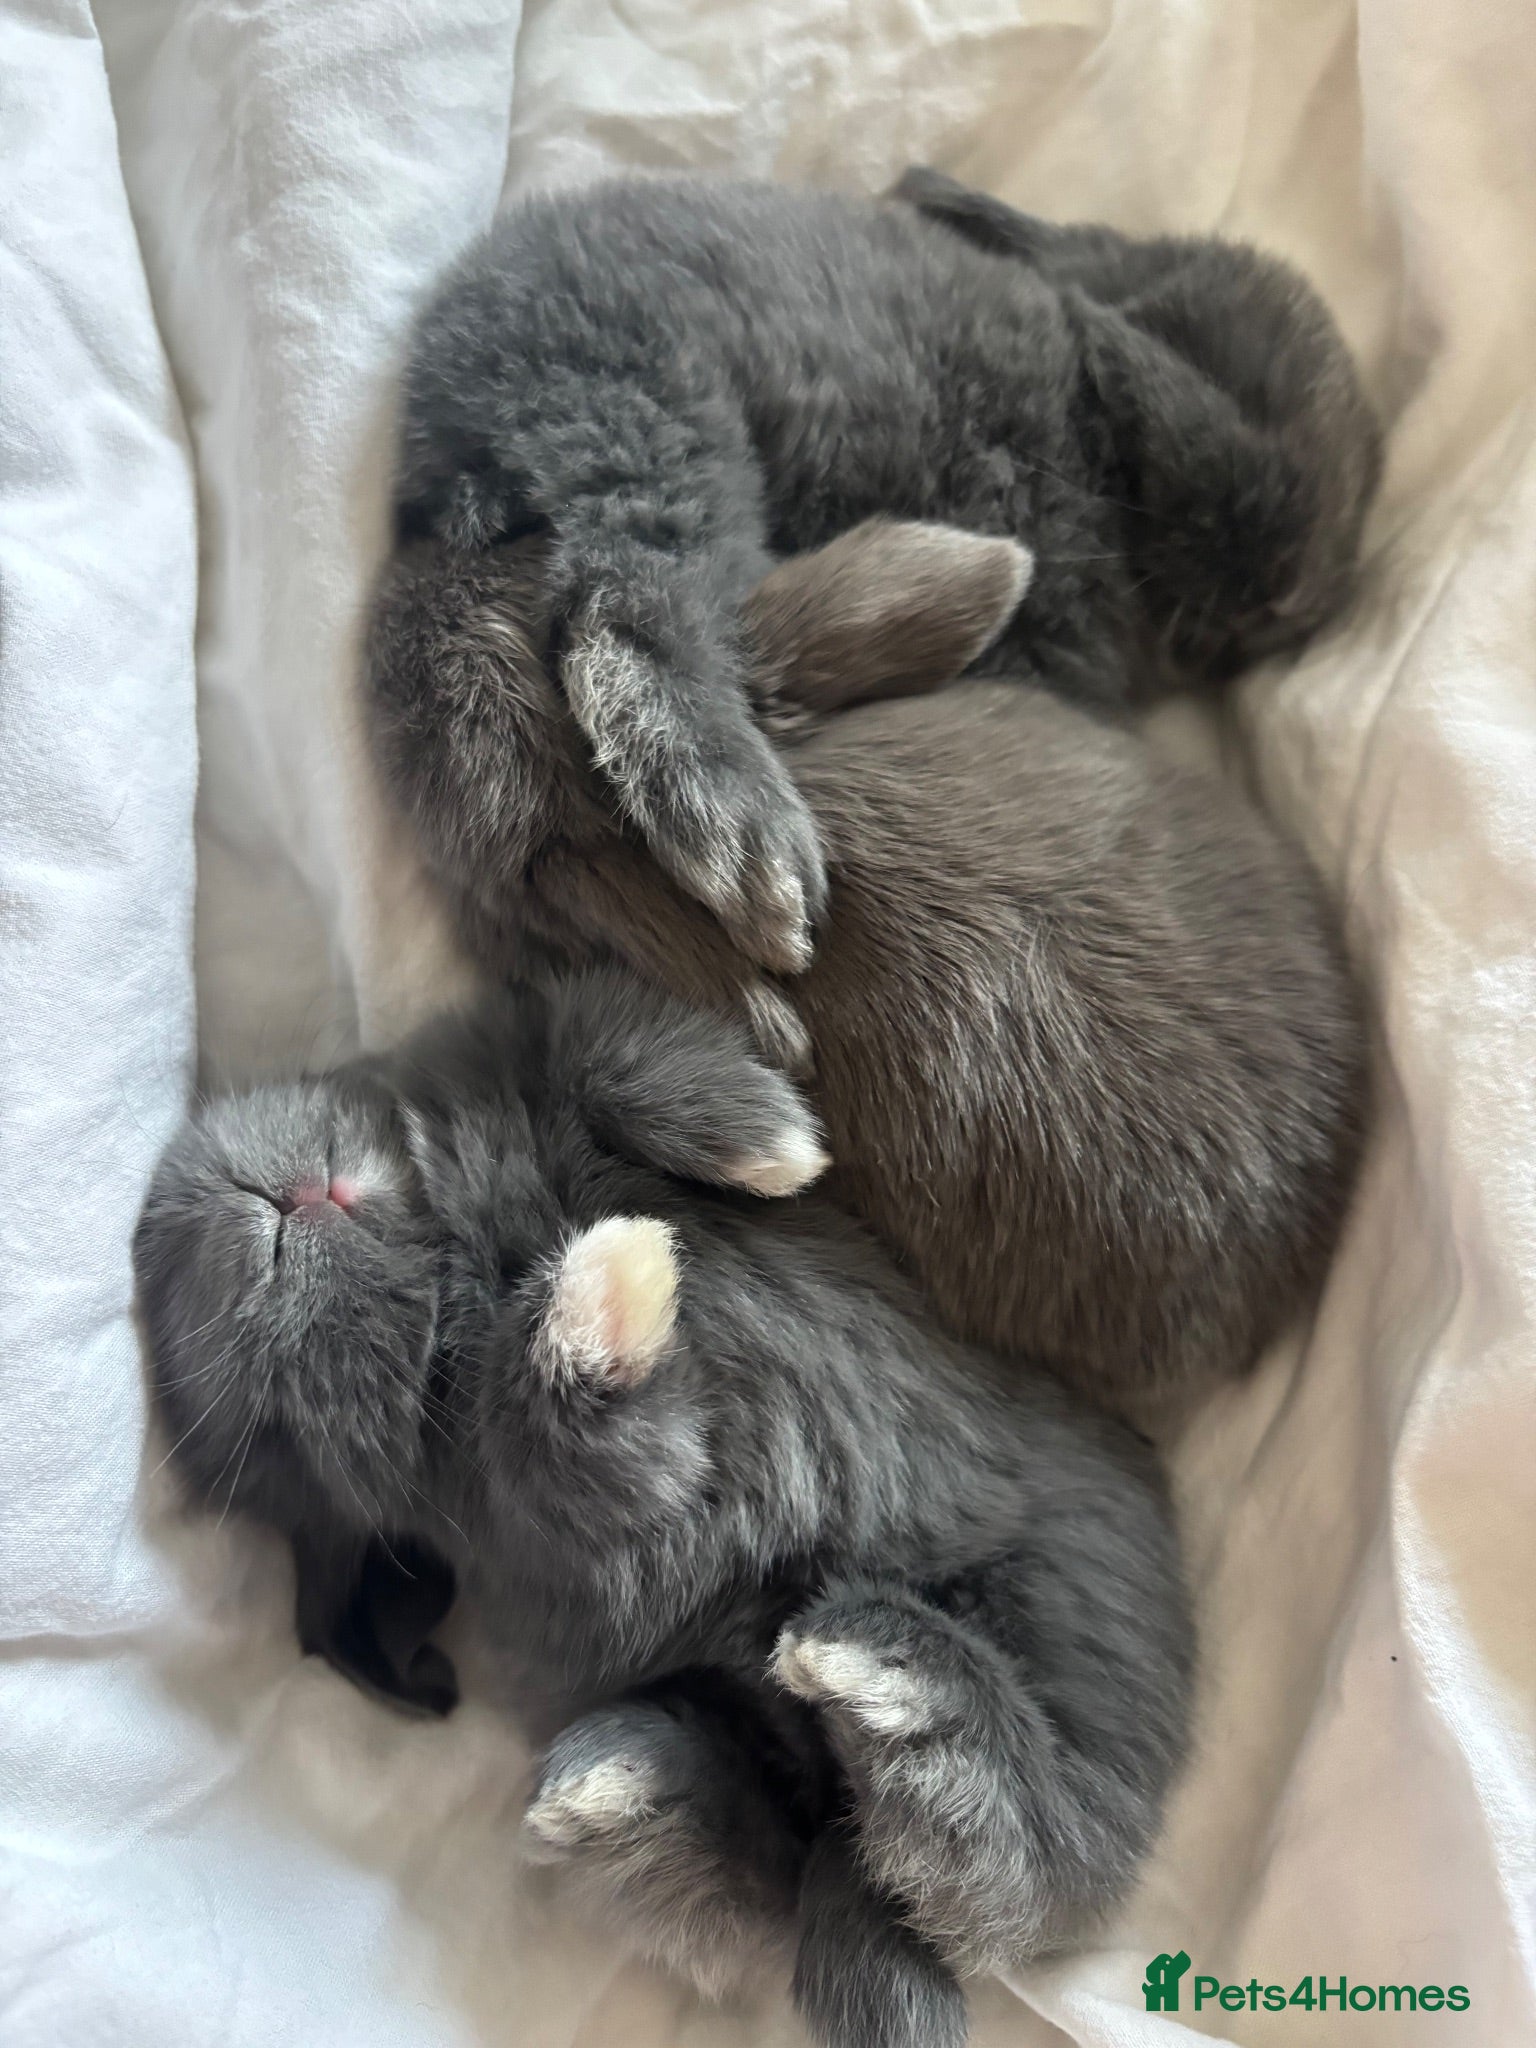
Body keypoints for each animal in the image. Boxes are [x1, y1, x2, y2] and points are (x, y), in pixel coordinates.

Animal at [132, 969, 1195, 2048]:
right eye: (277, 1434)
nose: (265, 1218)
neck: (457, 1247)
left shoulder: (537, 1030)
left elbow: (607, 1041)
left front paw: (774, 1144)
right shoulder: (553, 1506)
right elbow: (575, 1432)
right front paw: (616, 1287)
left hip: (1069, 1597)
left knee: (1006, 1859)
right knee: (983, 1865)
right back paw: (680, 1769)